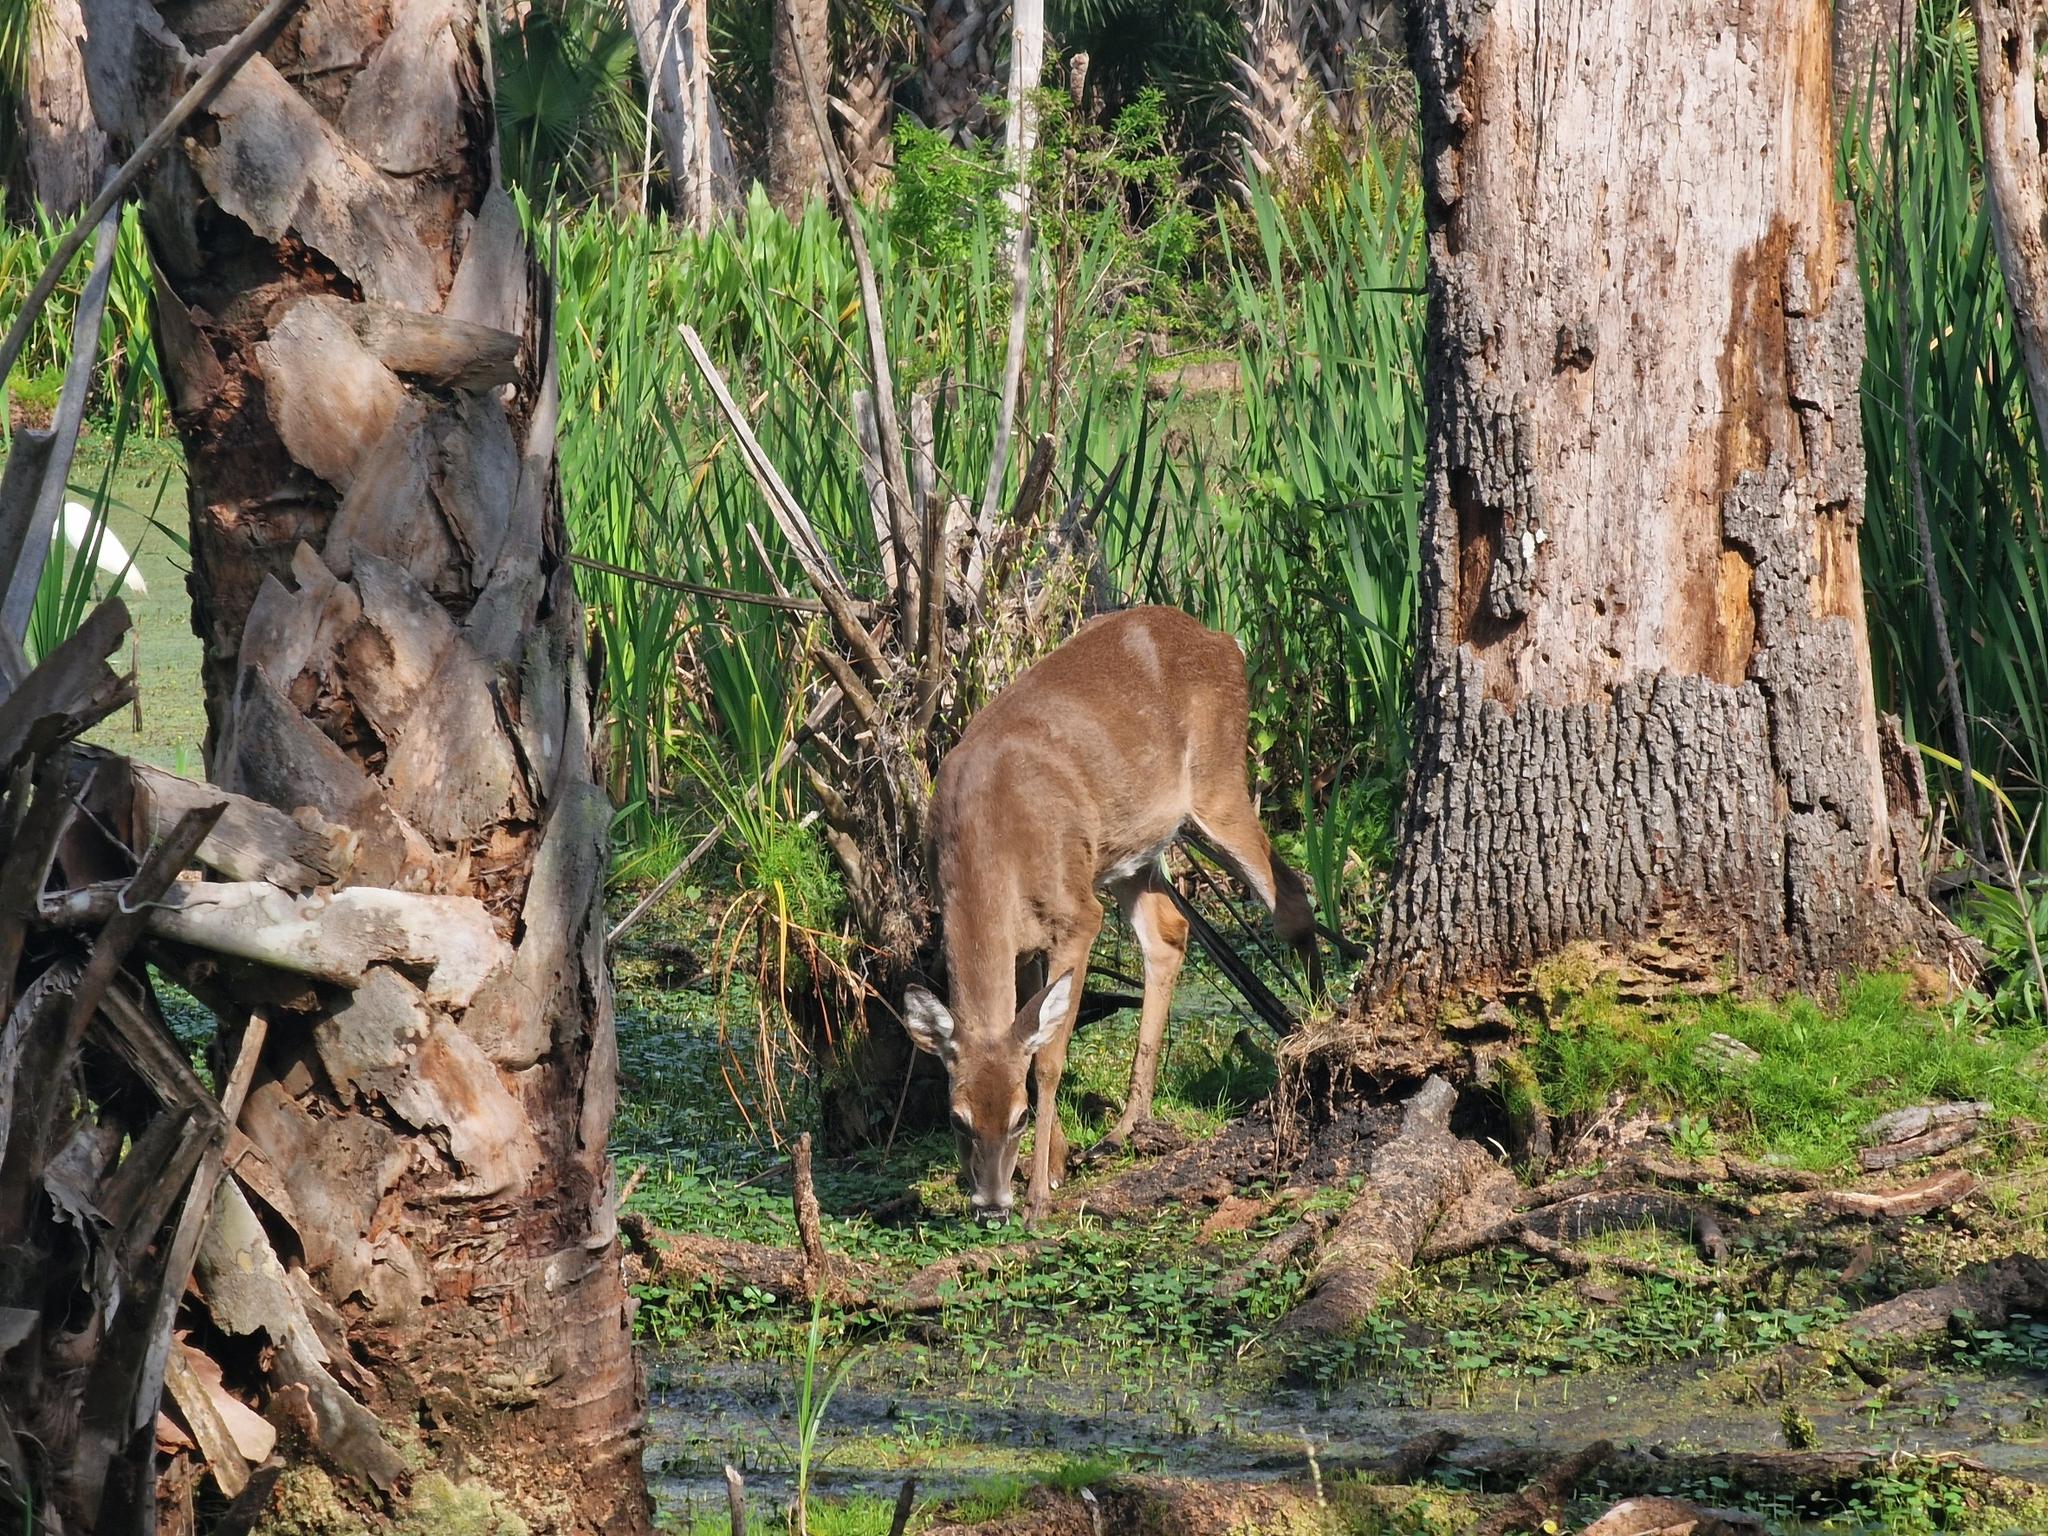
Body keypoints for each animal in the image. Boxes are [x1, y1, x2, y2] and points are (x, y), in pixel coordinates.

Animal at [902, 606, 1316, 1225]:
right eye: (957, 1118)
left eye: (1018, 1117)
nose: (993, 1206)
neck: (990, 842)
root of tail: (1224, 639)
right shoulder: (1025, 938)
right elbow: (1032, 1029)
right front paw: (1055, 1161)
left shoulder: (1077, 916)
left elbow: (1048, 1055)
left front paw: (1039, 1194)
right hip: (1129, 852)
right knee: (1169, 933)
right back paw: (1126, 1126)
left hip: (1217, 784)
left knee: (1291, 898)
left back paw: (1314, 1025)